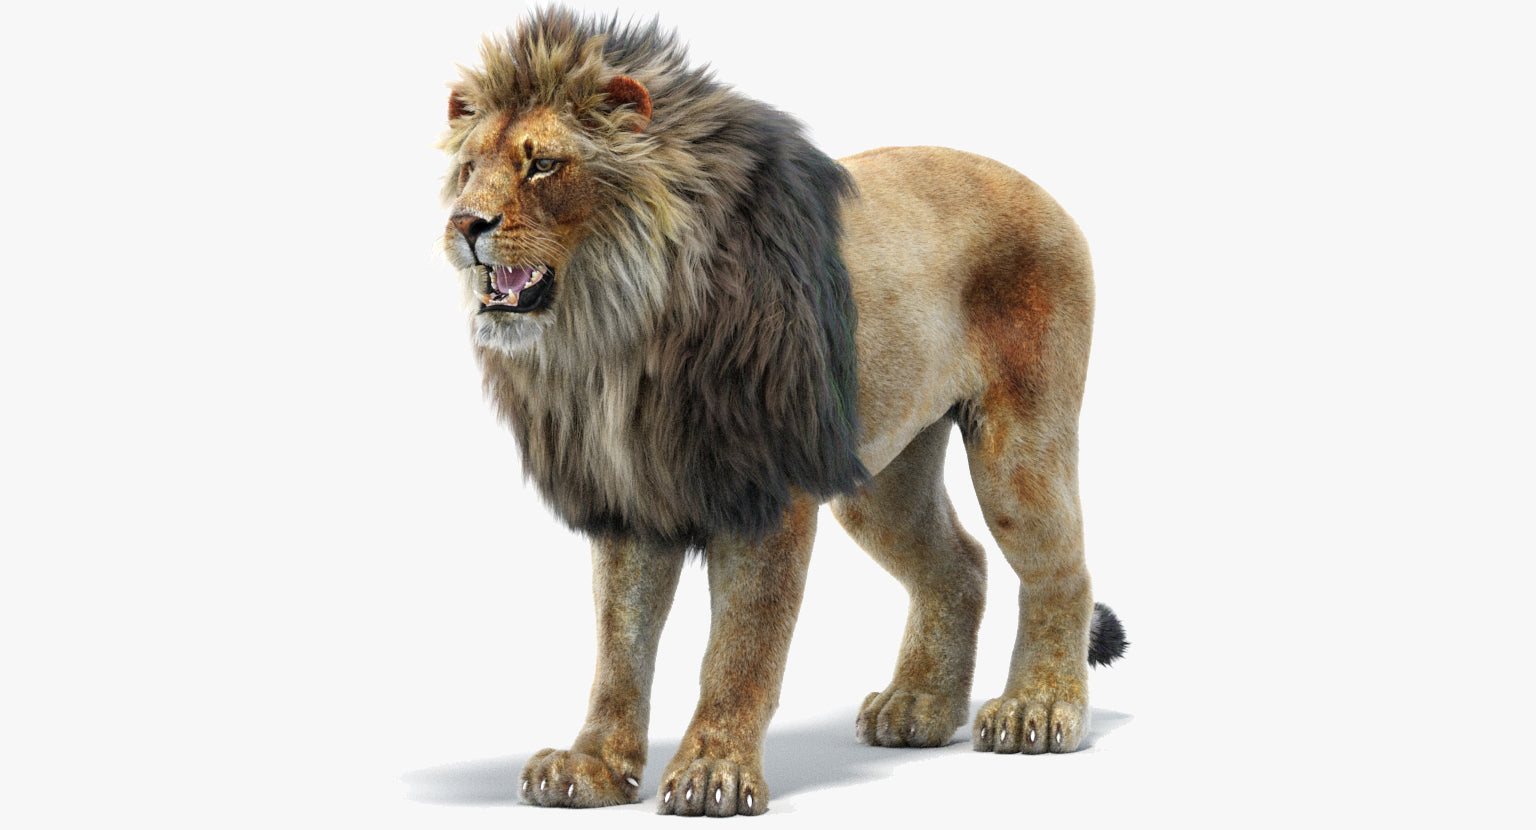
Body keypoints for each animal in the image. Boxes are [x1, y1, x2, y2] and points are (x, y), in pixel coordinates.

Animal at [437, 7, 1126, 817]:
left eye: (542, 164)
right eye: (467, 168)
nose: (465, 224)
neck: (620, 332)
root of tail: (1046, 193)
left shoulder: (765, 487)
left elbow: (743, 647)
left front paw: (714, 773)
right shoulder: (631, 494)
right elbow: (620, 645)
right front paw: (592, 766)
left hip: (1017, 449)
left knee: (1061, 569)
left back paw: (1038, 708)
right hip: (879, 476)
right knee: (960, 563)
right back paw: (917, 707)